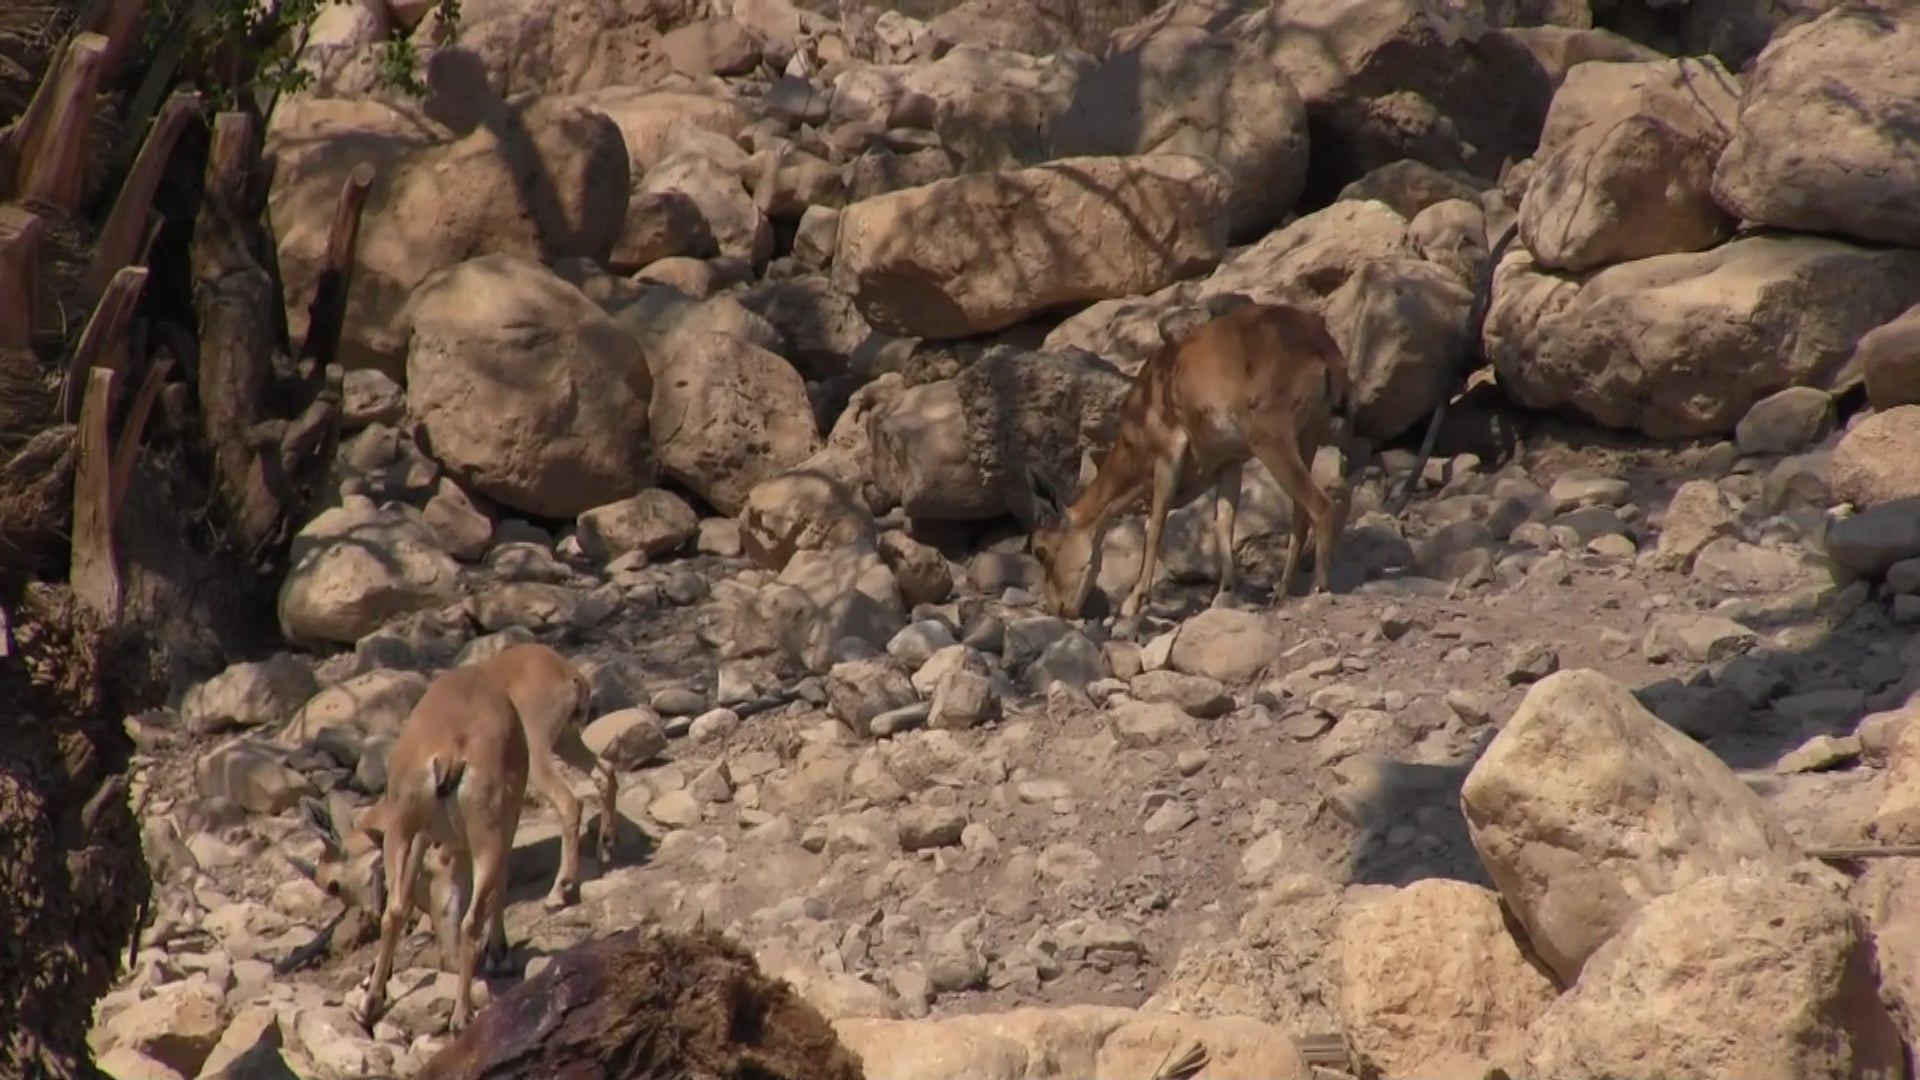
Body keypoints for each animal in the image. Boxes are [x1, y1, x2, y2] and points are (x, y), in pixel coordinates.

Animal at [1022, 299, 1356, 620]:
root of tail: (1324, 349)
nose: (1060, 609)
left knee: (1320, 505)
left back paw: (1318, 587)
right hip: (1308, 434)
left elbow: (1155, 524)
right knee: (1301, 512)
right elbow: (1224, 522)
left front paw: (1133, 603)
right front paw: (1225, 592)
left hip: (1272, 438)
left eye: (1041, 550)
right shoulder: (1230, 462)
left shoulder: (1168, 452)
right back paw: (1281, 591)